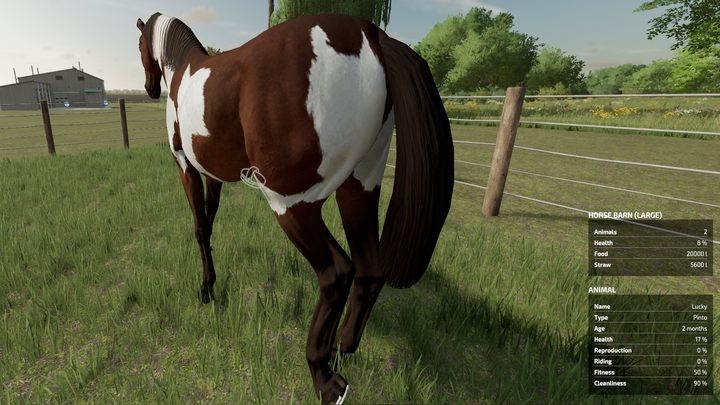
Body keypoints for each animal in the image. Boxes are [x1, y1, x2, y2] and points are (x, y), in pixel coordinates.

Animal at [136, 12, 453, 404]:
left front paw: (206, 289)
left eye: (139, 46)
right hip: (359, 187)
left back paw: (325, 377)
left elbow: (198, 227)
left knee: (337, 273)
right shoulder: (212, 175)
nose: (149, 88)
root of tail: (372, 36)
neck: (183, 71)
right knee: (369, 270)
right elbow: (208, 223)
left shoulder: (186, 166)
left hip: (291, 204)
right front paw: (212, 282)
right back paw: (343, 350)